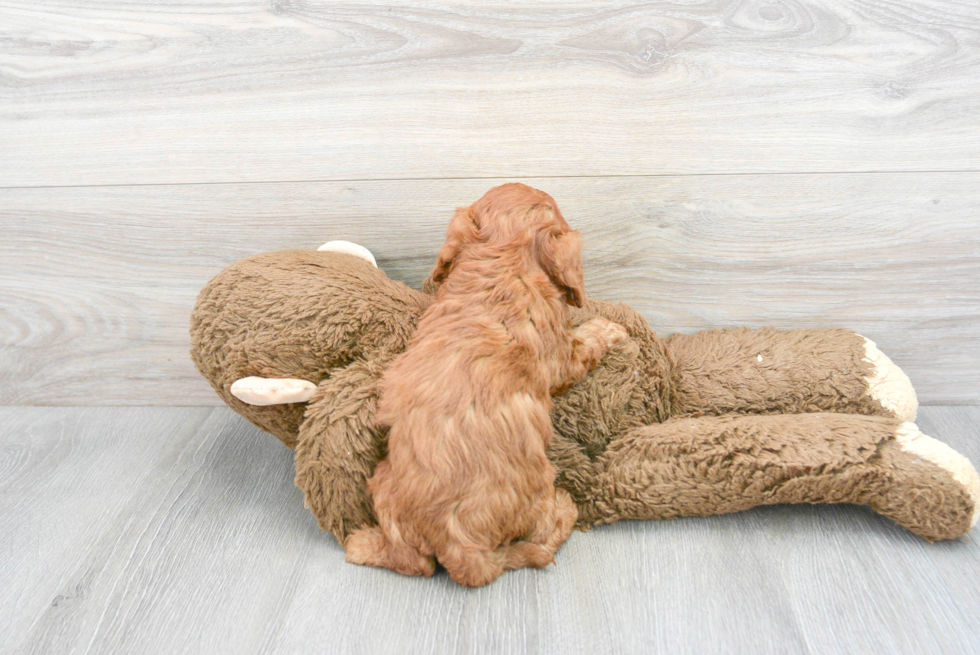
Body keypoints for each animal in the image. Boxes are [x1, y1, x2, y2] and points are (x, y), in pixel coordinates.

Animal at [344, 182, 628, 588]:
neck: (502, 256)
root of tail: (459, 549)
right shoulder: (562, 357)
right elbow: (586, 343)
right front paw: (610, 328)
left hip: (384, 481)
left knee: (413, 562)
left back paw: (361, 544)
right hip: (538, 491)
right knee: (541, 542)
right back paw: (565, 509)